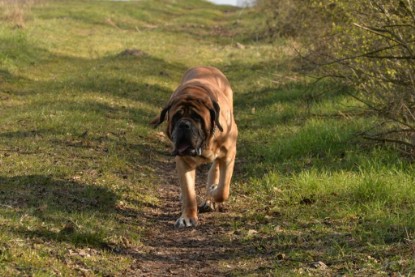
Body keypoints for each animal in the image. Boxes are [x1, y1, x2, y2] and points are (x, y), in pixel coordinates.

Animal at [152, 66, 237, 226]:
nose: (184, 125)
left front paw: (212, 192)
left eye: (197, 117)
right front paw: (188, 217)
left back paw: (210, 197)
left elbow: (223, 190)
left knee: (215, 169)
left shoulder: (229, 154)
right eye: (176, 117)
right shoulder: (183, 161)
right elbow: (189, 192)